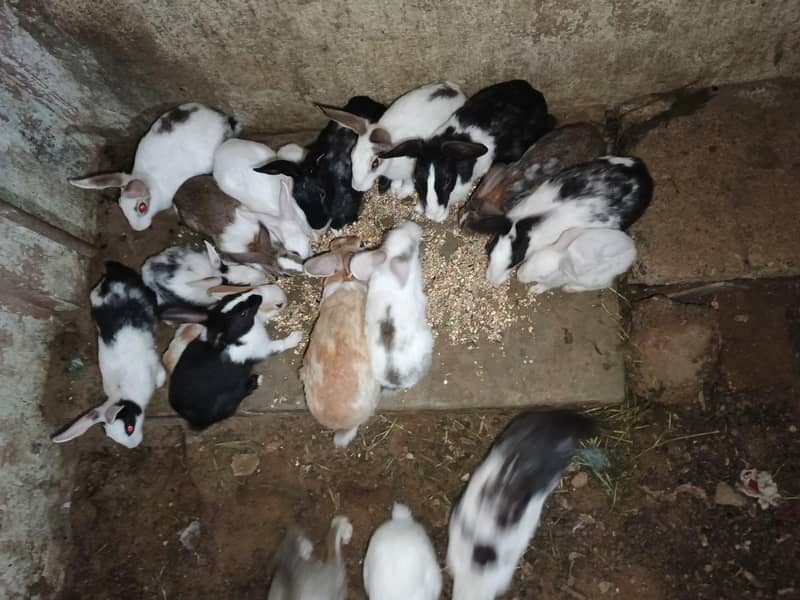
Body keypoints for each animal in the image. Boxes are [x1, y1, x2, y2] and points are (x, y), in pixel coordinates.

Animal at [52, 262, 165, 448]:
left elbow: (160, 371)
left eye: (129, 428)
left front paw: (161, 382)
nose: (134, 445)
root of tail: (112, 277)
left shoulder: (152, 362)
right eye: (110, 436)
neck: (124, 394)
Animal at [160, 286, 302, 429]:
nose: (258, 297)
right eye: (243, 313)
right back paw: (257, 380)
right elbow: (278, 345)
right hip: (226, 401)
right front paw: (296, 337)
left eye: (234, 296)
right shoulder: (262, 348)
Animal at [319, 82, 466, 199]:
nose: (357, 187)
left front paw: (402, 193)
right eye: (352, 154)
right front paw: (395, 188)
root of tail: (456, 90)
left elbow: (409, 182)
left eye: (375, 163)